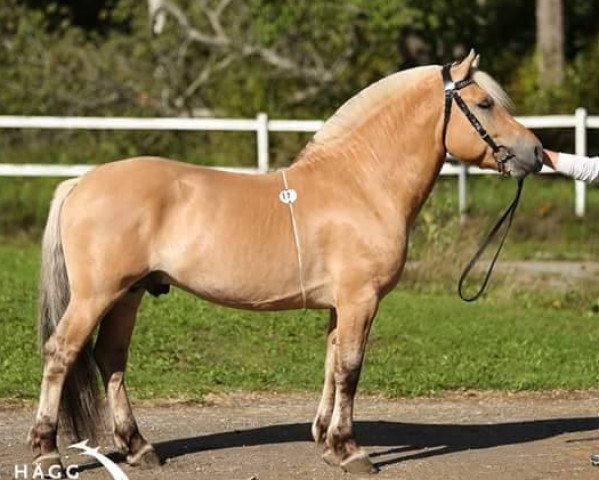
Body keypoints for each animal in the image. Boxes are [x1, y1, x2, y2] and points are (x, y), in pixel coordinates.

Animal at [29, 50, 544, 474]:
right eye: (484, 104)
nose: (536, 152)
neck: (360, 184)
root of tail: (80, 182)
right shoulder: (360, 300)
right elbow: (350, 368)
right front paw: (350, 450)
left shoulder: (341, 305)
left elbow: (332, 363)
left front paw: (327, 441)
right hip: (97, 295)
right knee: (61, 353)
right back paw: (47, 451)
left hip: (128, 294)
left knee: (110, 358)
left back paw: (139, 448)